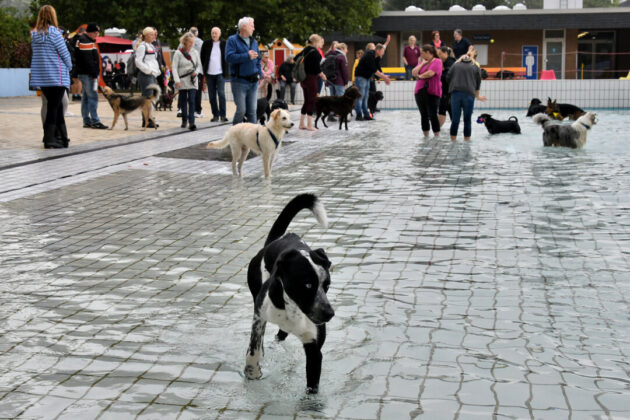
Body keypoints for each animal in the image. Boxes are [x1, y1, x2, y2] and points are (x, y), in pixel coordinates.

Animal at [246, 194, 336, 394]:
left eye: (327, 285)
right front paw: (253, 373)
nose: (329, 314)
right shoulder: (259, 317)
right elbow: (253, 350)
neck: (293, 310)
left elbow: (312, 387)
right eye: (307, 285)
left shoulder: (314, 349)